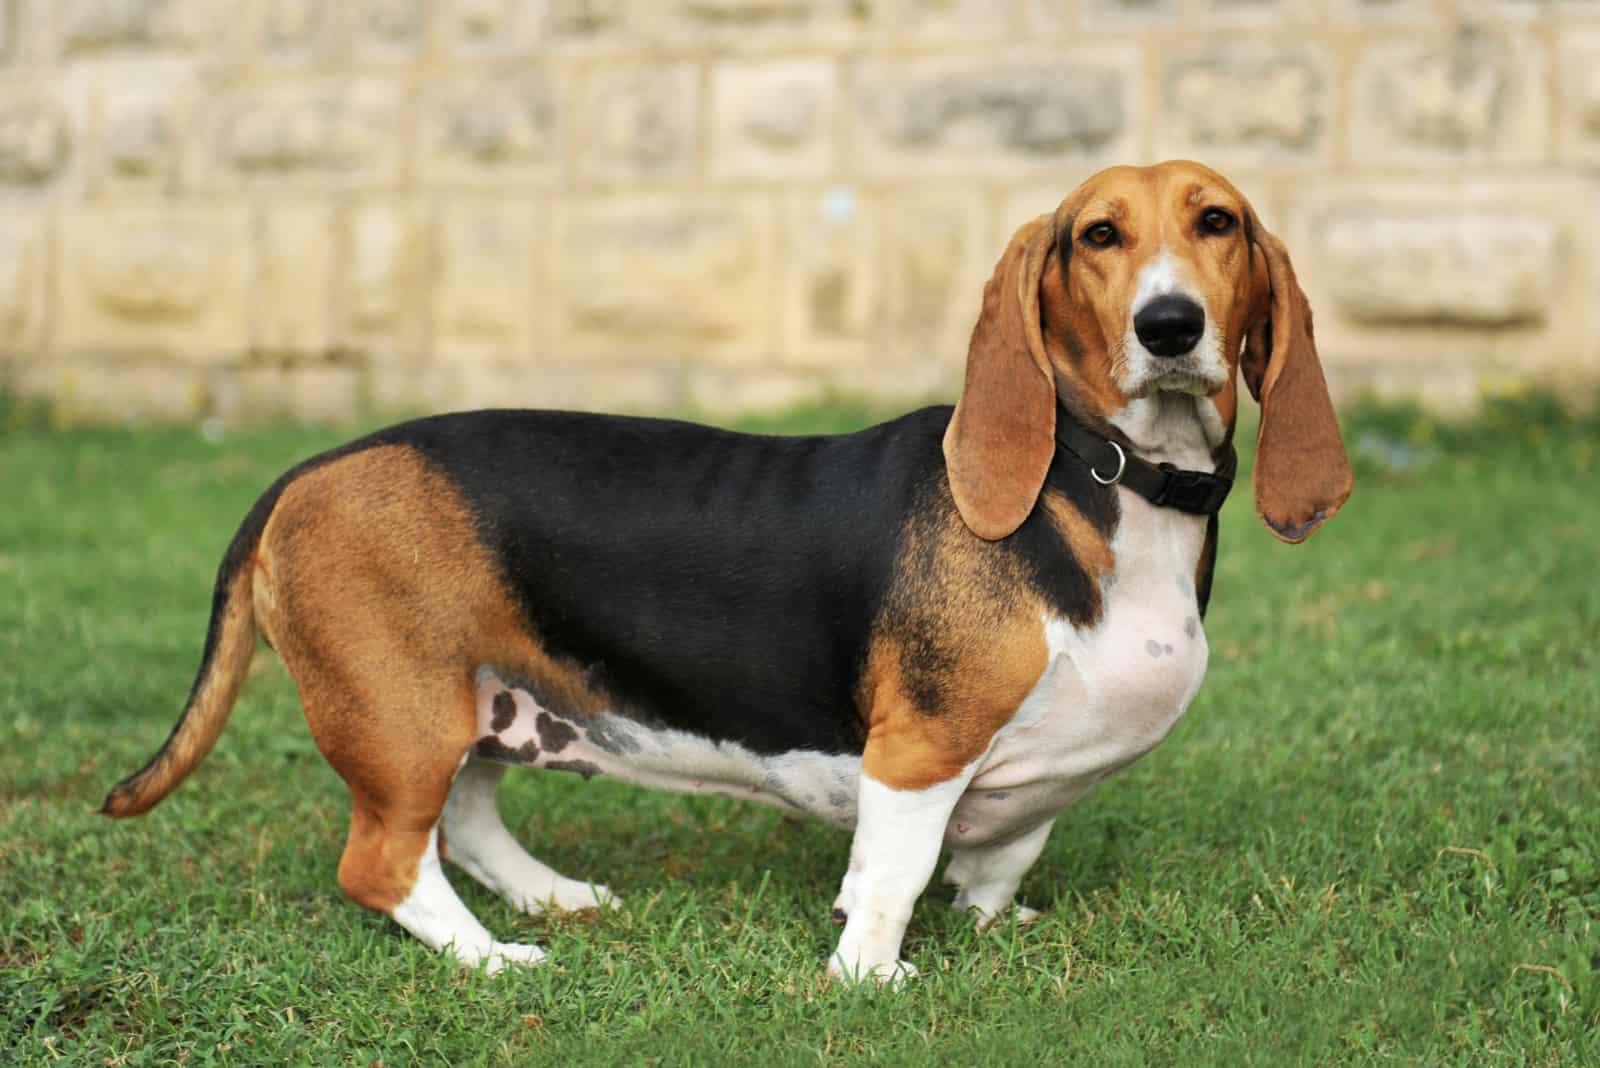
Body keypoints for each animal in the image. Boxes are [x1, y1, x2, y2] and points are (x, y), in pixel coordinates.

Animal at [100, 160, 1350, 984]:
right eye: (1097, 235)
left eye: (1216, 221)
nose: (1170, 324)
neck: (1109, 480)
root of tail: (305, 472)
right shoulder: (918, 755)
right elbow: (893, 874)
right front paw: (871, 977)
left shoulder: (1038, 782)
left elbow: (1000, 857)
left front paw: (992, 924)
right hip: (400, 712)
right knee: (382, 861)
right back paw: (497, 958)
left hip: (476, 703)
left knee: (462, 821)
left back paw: (552, 896)